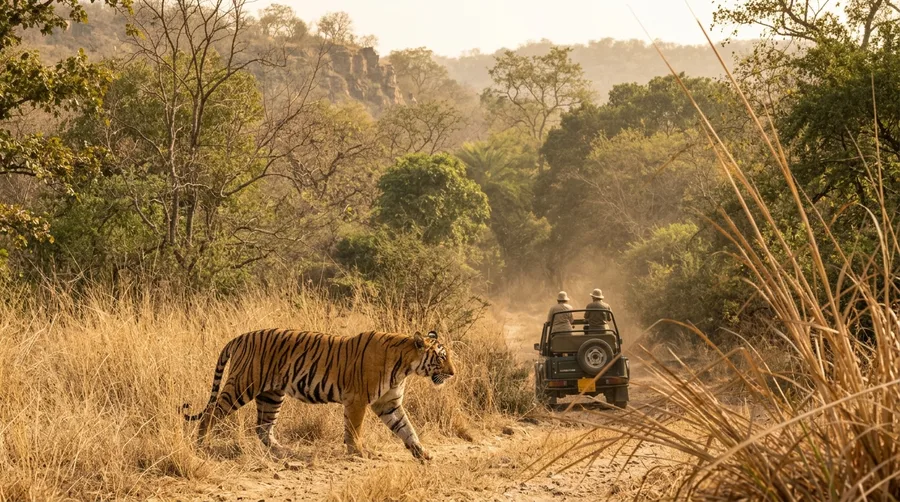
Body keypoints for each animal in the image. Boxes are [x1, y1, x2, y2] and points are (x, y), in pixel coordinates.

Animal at [182, 329, 456, 460]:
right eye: (441, 357)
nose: (453, 373)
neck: (405, 366)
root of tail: (240, 337)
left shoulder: (389, 404)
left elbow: (407, 429)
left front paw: (423, 453)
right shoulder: (357, 400)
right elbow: (354, 429)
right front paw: (359, 452)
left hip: (271, 394)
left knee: (262, 427)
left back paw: (284, 452)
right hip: (242, 385)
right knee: (211, 412)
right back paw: (201, 445)